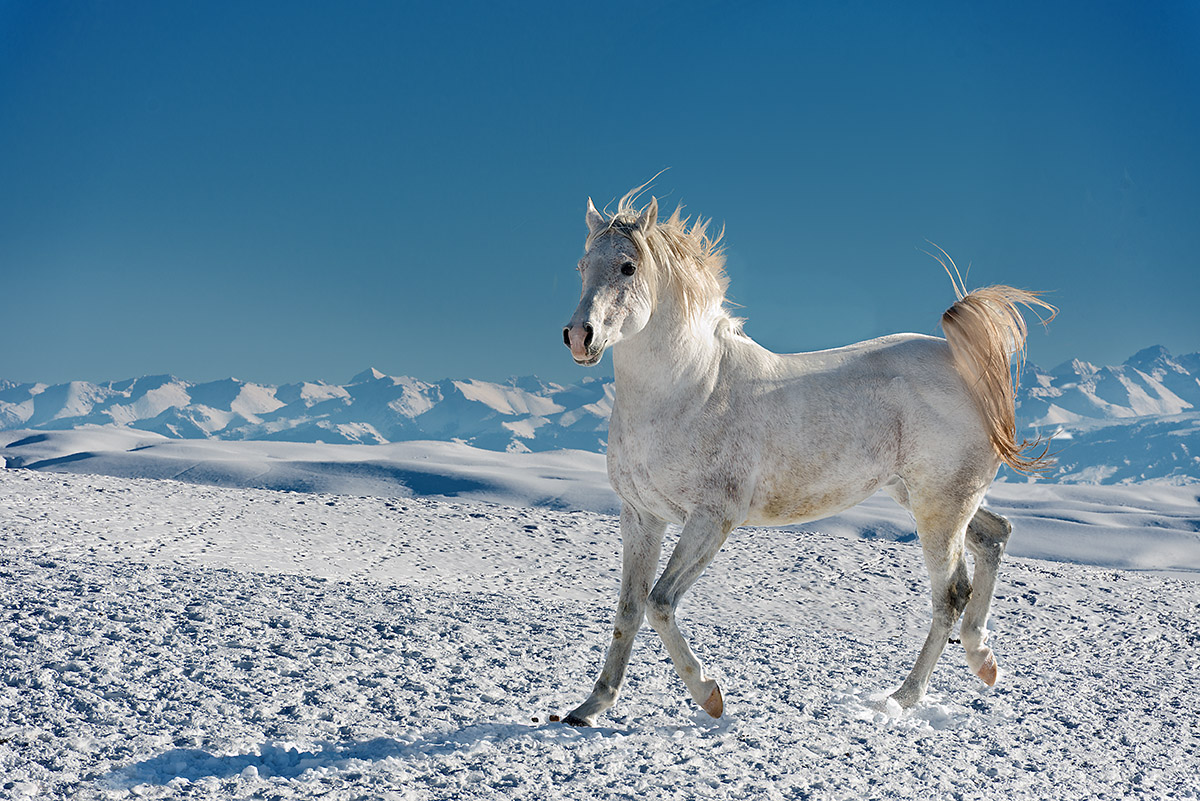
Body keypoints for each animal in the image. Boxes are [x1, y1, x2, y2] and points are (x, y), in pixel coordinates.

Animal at [556, 183, 1056, 724]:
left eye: (629, 267)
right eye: (582, 265)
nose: (580, 337)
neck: (687, 389)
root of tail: (966, 367)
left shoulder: (712, 518)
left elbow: (659, 602)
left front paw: (709, 695)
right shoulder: (641, 516)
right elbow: (628, 609)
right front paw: (589, 708)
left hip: (939, 509)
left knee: (950, 596)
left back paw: (902, 698)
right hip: (927, 496)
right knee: (995, 536)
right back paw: (983, 661)